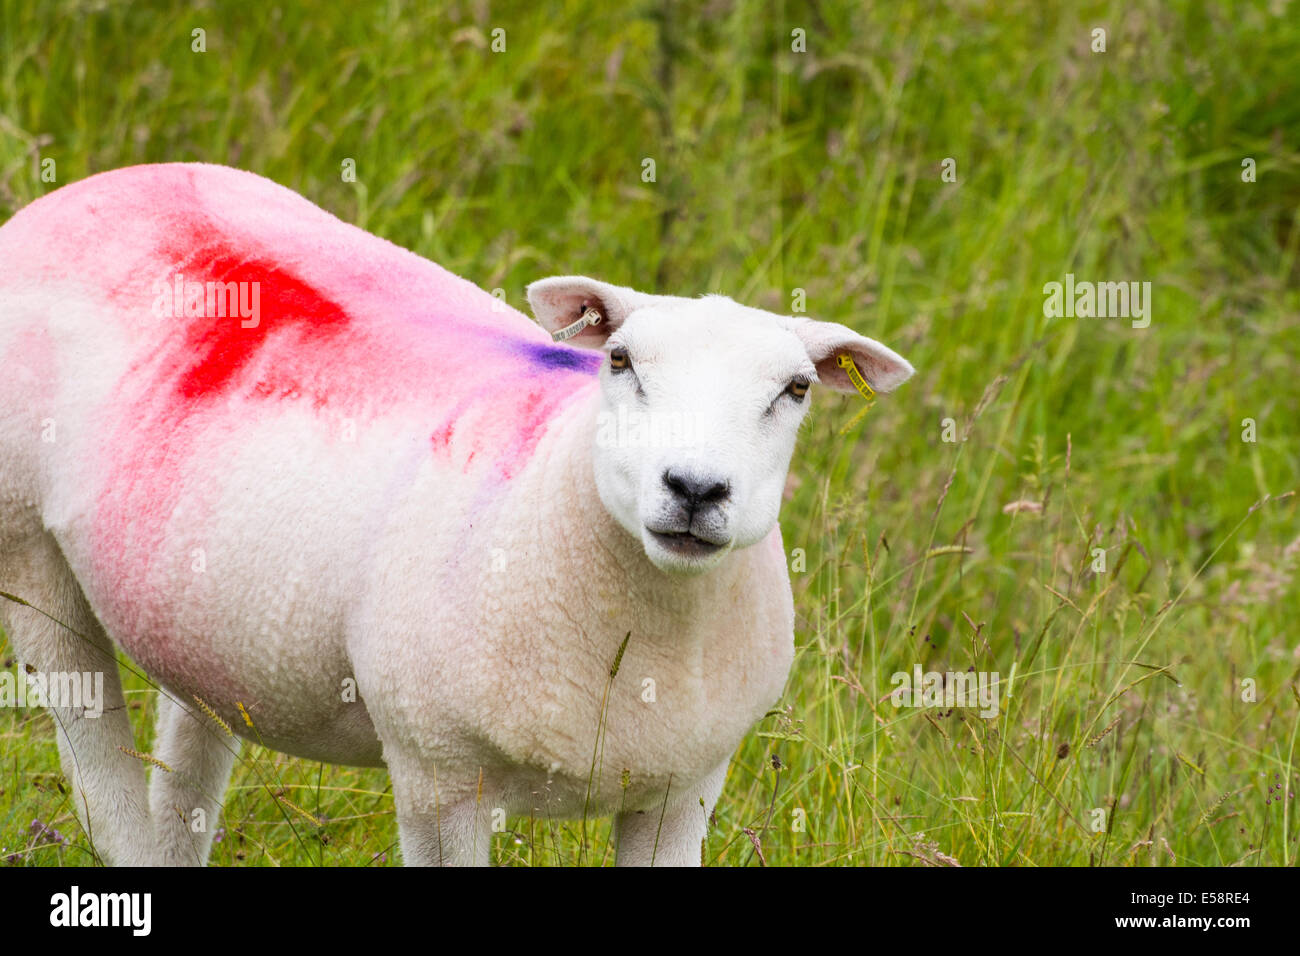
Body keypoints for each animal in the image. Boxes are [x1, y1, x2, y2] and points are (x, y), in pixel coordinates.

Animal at [0, 163, 914, 866]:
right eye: (620, 361)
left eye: (795, 389)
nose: (694, 488)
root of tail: (102, 184)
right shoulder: (439, 775)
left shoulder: (682, 790)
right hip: (26, 540)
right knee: (104, 786)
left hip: (205, 600)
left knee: (189, 767)